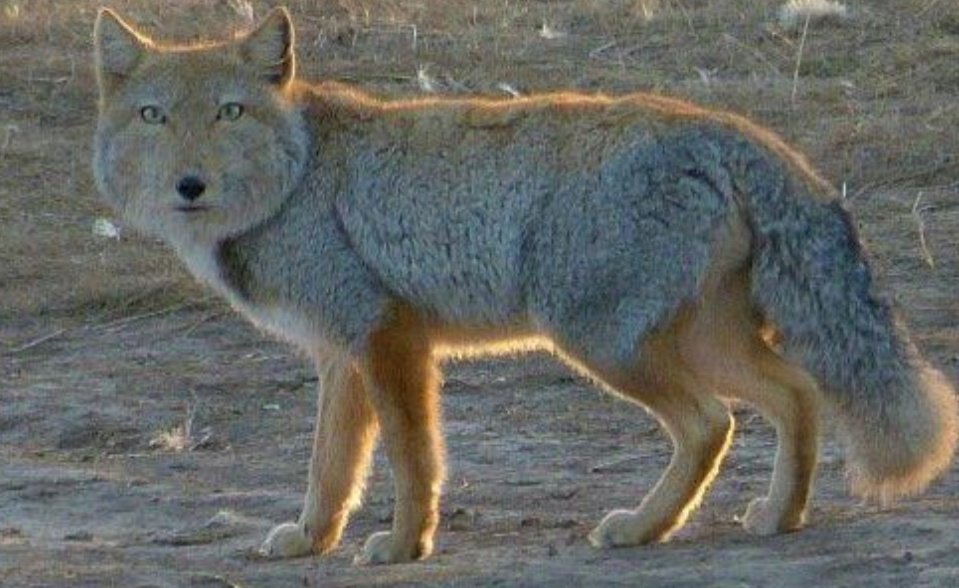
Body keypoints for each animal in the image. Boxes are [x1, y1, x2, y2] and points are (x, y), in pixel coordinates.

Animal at [92, 7, 958, 565]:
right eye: (153, 116)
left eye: (230, 112)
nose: (190, 185)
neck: (299, 175)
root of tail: (719, 126)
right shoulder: (341, 355)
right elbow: (330, 468)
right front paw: (310, 539)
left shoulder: (386, 338)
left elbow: (410, 459)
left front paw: (404, 545)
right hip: (698, 340)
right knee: (795, 395)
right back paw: (777, 517)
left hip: (601, 343)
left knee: (712, 423)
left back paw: (644, 529)